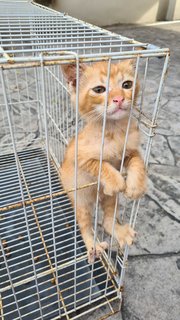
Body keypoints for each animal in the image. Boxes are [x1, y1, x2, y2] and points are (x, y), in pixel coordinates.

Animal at [60, 60, 146, 262]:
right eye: (99, 89)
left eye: (127, 85)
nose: (119, 99)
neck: (113, 131)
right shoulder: (78, 156)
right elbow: (100, 164)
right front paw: (116, 181)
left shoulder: (130, 150)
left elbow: (138, 161)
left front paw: (135, 186)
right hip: (81, 200)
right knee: (84, 225)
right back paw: (93, 247)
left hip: (109, 199)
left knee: (108, 220)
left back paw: (120, 232)